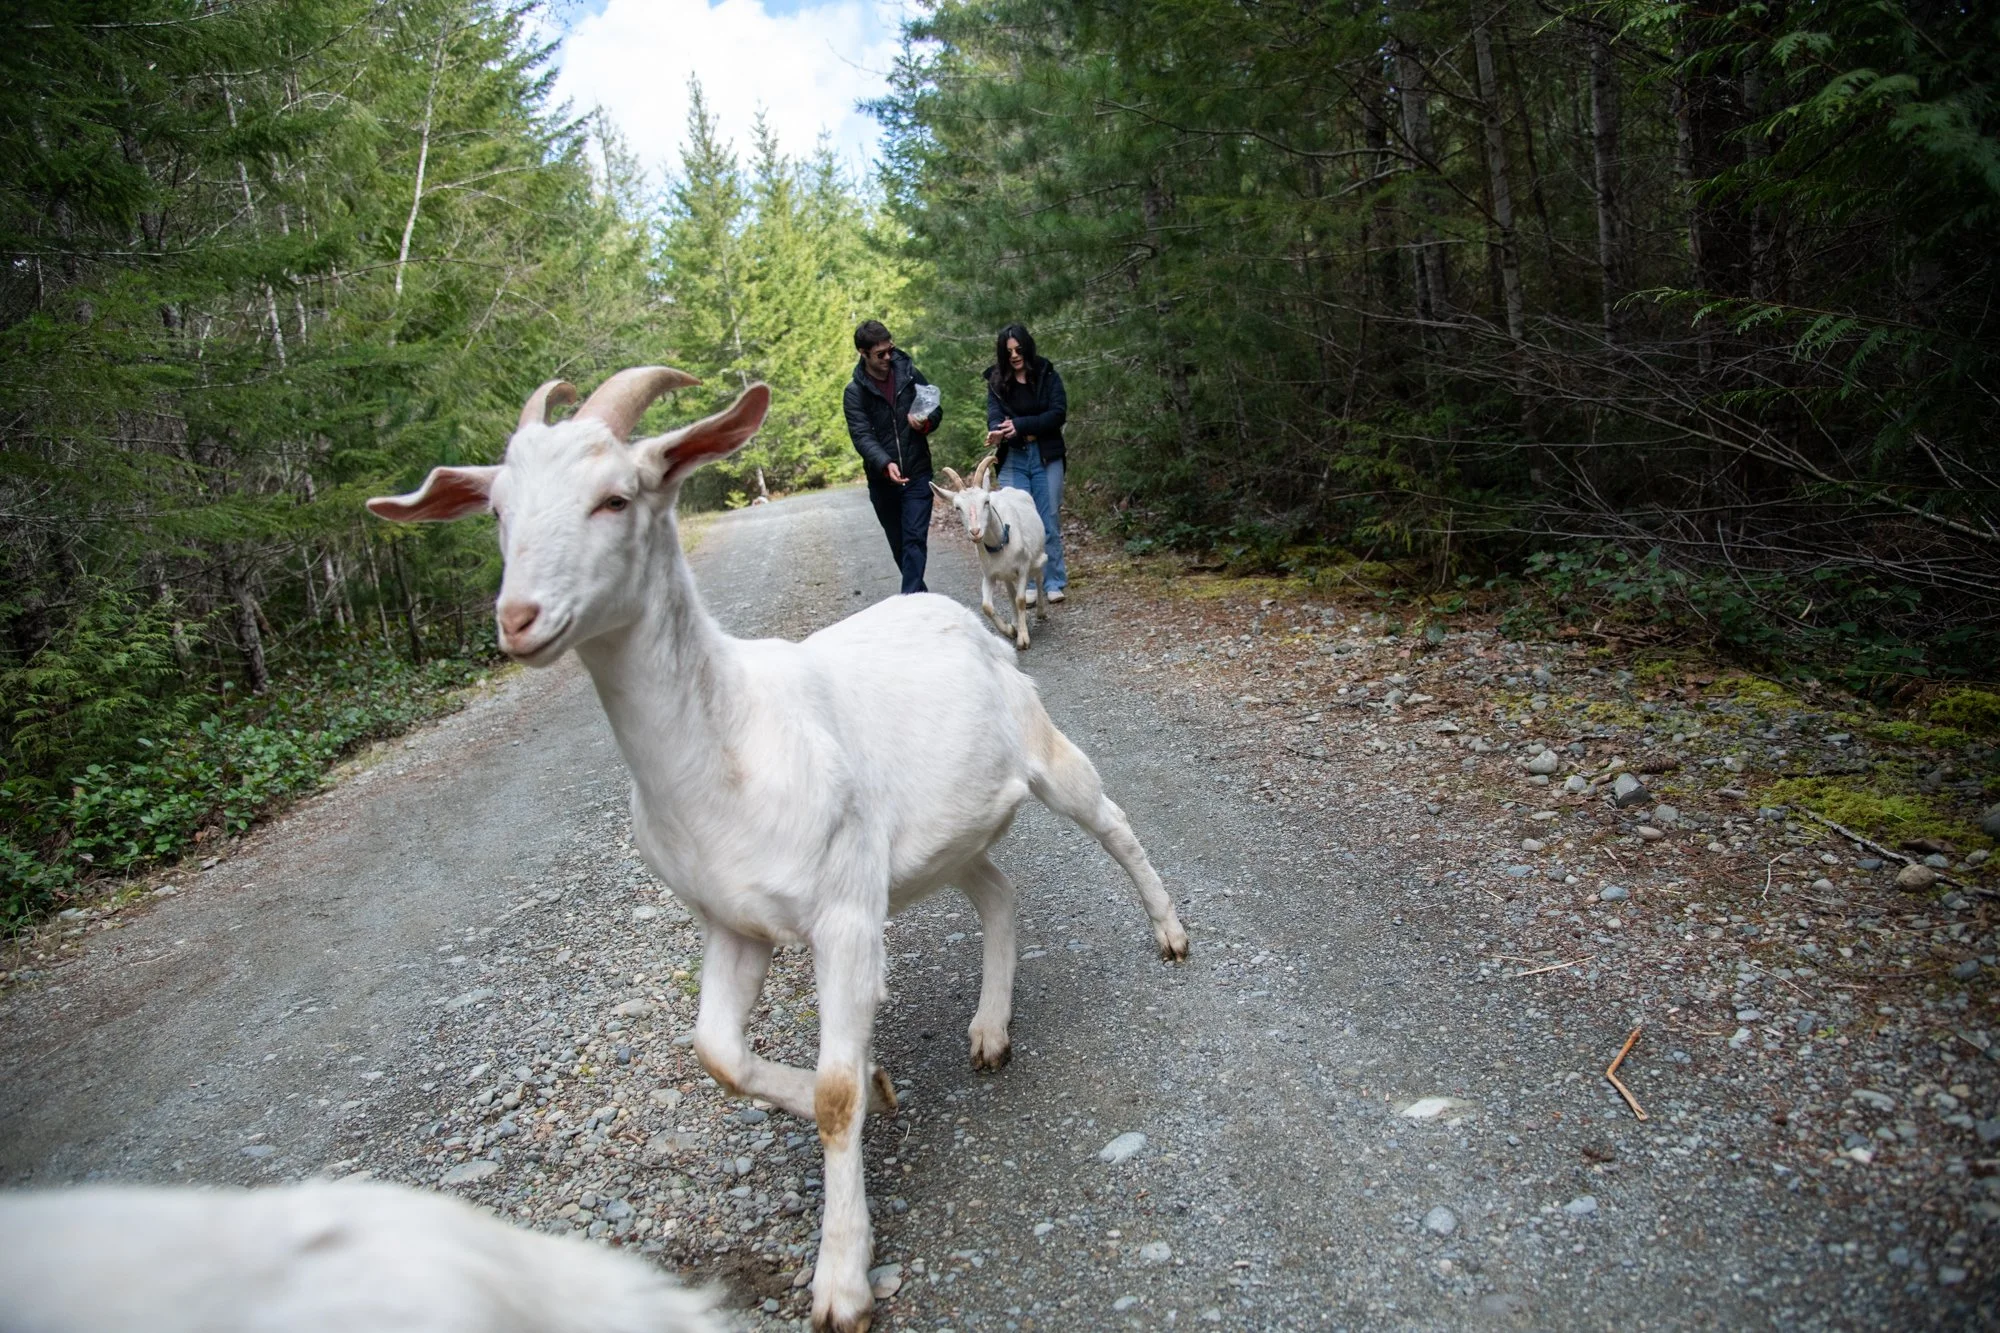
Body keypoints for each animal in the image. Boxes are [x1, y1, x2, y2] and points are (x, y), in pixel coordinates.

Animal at [931, 456, 1047, 650]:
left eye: (986, 502)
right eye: (957, 507)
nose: (975, 532)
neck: (1001, 543)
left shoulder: (1023, 567)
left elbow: (1021, 600)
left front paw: (1023, 639)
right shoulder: (989, 575)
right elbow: (987, 606)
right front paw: (1010, 630)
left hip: (1038, 556)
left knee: (1039, 578)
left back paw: (1041, 612)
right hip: (1006, 574)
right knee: (1010, 594)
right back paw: (1015, 622)